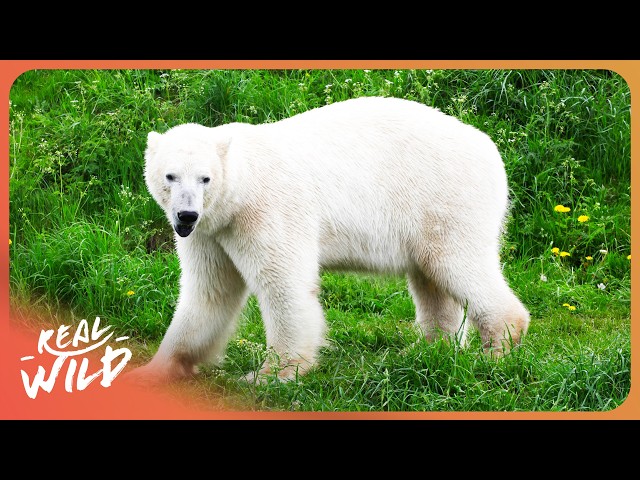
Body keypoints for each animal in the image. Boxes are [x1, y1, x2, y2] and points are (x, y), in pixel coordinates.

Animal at [127, 96, 530, 385]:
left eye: (205, 178)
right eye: (170, 176)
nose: (186, 216)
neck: (241, 186)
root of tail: (491, 149)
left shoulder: (265, 212)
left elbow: (284, 286)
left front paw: (270, 375)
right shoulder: (213, 232)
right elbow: (209, 293)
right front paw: (154, 370)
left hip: (445, 199)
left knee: (456, 263)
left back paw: (495, 351)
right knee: (431, 281)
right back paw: (426, 352)